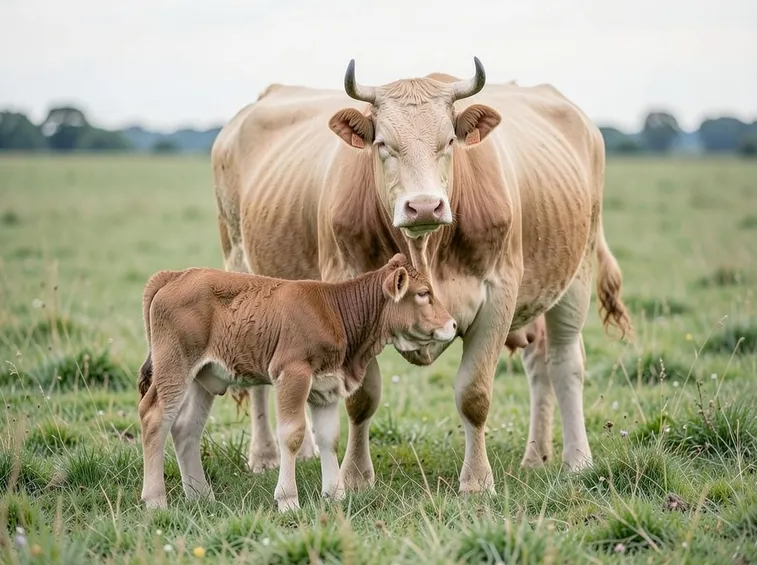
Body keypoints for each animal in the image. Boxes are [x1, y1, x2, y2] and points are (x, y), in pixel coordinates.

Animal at [136, 253, 457, 511]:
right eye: (424, 293)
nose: (453, 324)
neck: (334, 312)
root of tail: (175, 274)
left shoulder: (327, 387)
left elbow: (329, 437)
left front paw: (335, 495)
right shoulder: (292, 373)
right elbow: (292, 434)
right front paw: (288, 500)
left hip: (203, 377)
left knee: (185, 427)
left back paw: (201, 496)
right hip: (174, 365)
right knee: (154, 417)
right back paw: (156, 500)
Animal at [211, 57, 632, 496]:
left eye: (448, 141)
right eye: (383, 144)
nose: (425, 207)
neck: (426, 250)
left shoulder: (499, 294)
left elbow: (474, 394)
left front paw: (477, 480)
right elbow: (362, 398)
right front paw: (355, 476)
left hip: (575, 276)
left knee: (562, 362)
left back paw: (573, 460)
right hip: (241, 268)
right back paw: (266, 456)